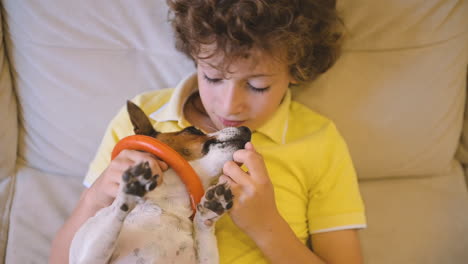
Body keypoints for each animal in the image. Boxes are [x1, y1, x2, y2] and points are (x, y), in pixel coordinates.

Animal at [68, 100, 252, 262]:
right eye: (193, 130)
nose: (247, 129)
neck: (166, 206)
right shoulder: (89, 257)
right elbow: (115, 214)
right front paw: (131, 188)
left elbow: (204, 233)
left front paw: (210, 210)